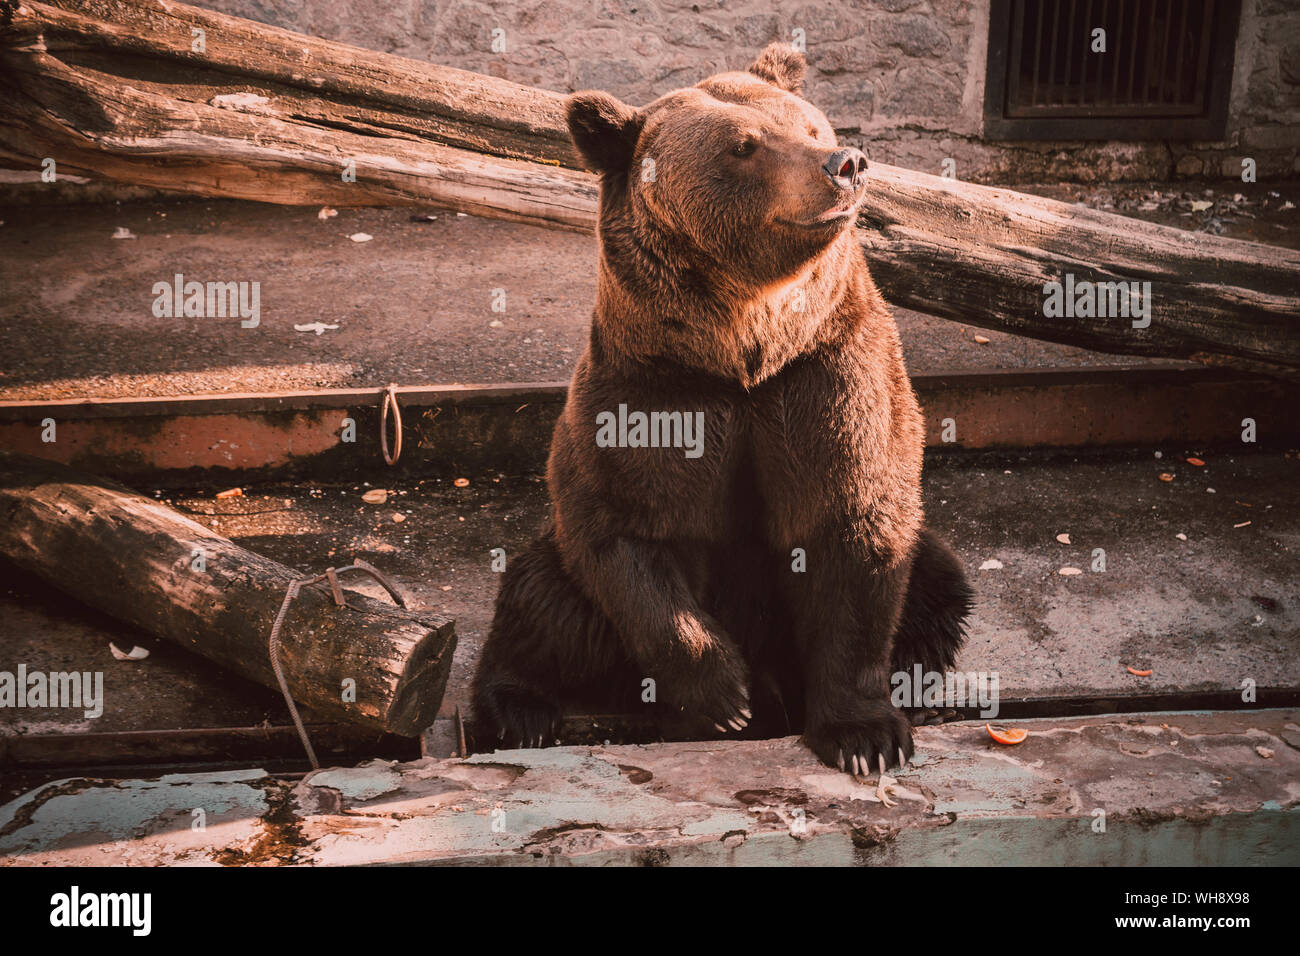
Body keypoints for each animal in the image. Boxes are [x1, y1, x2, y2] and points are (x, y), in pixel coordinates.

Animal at [473, 42, 972, 780]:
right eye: (745, 145)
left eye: (811, 125)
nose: (845, 163)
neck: (742, 350)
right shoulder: (653, 390)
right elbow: (621, 530)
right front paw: (724, 698)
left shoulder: (825, 375)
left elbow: (855, 529)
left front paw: (866, 736)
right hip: (567, 582)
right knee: (542, 595)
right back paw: (519, 710)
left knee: (937, 578)